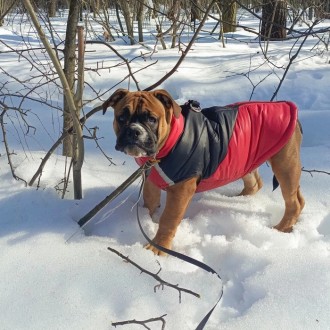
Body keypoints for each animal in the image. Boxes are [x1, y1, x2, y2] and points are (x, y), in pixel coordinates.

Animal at [103, 87, 304, 255]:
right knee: (255, 183)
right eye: (121, 117)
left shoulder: (181, 190)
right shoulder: (151, 182)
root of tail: (286, 106)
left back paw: (281, 228)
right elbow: (150, 203)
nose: (133, 131)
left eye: (151, 119)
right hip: (247, 156)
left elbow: (168, 220)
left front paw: (157, 248)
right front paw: (147, 221)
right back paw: (240, 200)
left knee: (294, 201)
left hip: (285, 164)